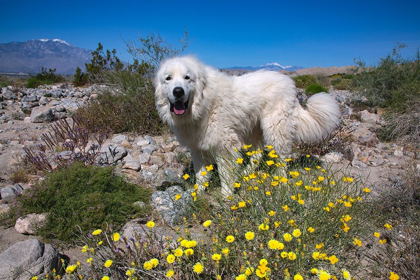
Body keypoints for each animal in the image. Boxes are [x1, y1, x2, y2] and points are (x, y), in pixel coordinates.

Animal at [155, 54, 342, 195]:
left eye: (187, 78)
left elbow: (225, 173)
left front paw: (227, 195)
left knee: (282, 157)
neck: (202, 105)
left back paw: (280, 180)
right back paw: (245, 173)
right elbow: (201, 174)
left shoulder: (226, 144)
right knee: (257, 153)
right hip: (254, 129)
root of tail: (289, 82)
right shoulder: (197, 148)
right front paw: (197, 193)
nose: (178, 91)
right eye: (168, 78)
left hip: (275, 129)